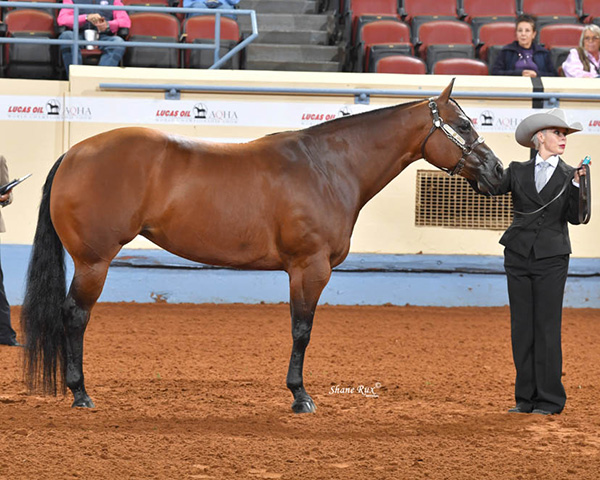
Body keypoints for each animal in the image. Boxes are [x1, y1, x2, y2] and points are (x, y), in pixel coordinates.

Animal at [22, 79, 502, 412]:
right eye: (463, 124)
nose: (498, 172)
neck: (328, 167)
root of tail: (74, 154)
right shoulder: (310, 268)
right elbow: (302, 330)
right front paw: (300, 396)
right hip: (93, 262)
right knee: (75, 316)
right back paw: (80, 393)